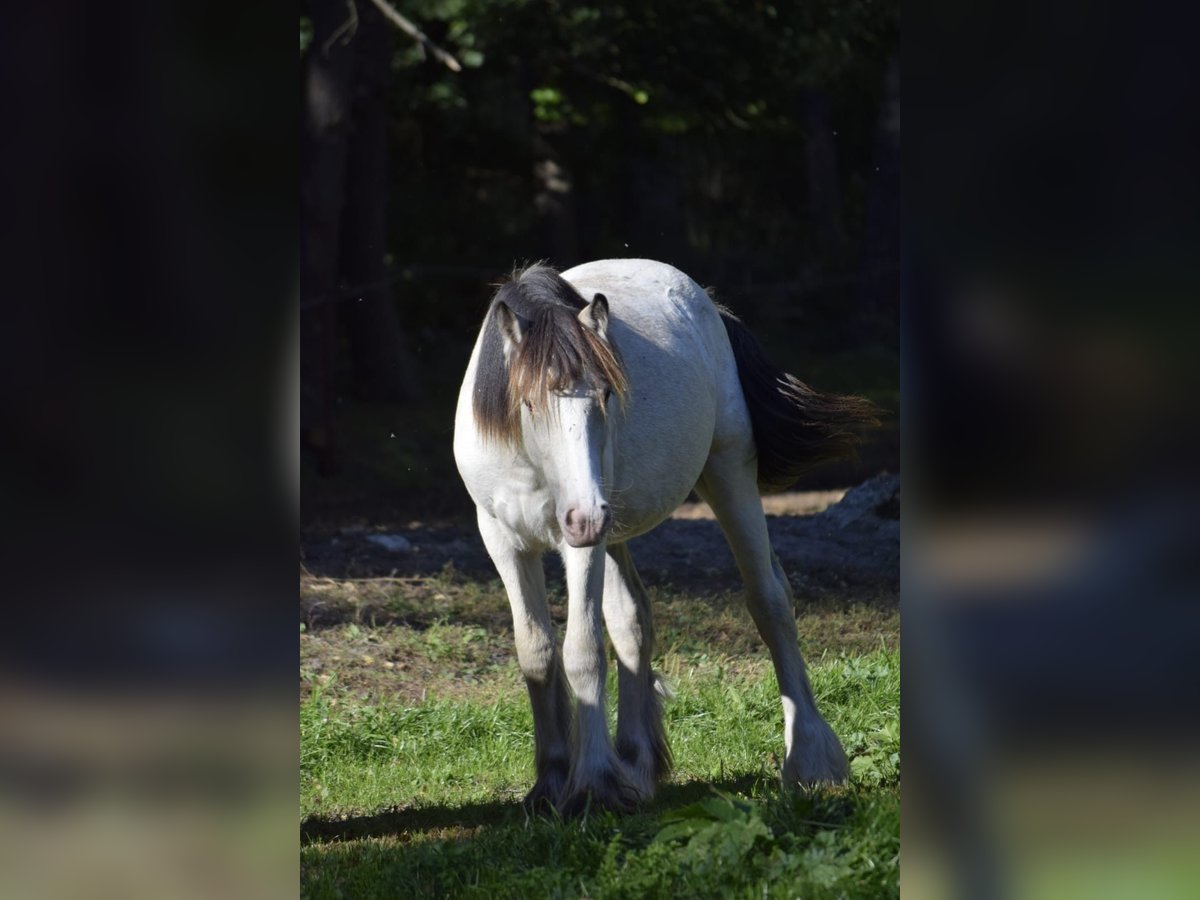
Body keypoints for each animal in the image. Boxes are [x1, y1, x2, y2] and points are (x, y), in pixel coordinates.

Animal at [453, 258, 877, 815]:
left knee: (768, 601)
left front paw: (592, 785)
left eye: (607, 394)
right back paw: (635, 765)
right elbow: (538, 654)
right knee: (632, 618)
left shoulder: (579, 546)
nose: (586, 516)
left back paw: (809, 759)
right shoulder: (504, 542)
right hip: (613, 531)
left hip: (723, 474)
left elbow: (583, 651)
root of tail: (705, 300)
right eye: (527, 402)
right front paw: (550, 783)